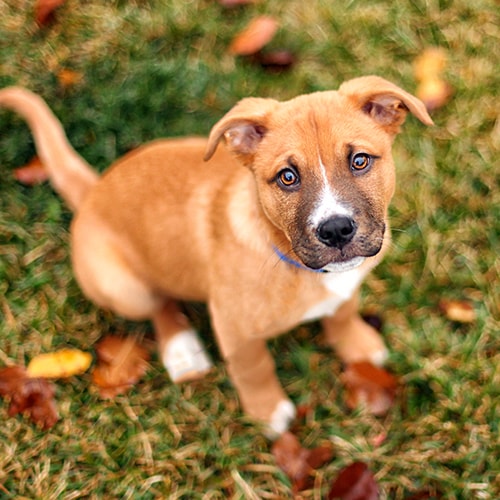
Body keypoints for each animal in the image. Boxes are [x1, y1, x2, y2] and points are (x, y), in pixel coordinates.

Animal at [0, 77, 430, 434]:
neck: (288, 257)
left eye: (360, 161)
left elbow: (342, 310)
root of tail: (92, 192)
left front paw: (357, 344)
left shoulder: (348, 282)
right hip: (121, 287)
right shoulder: (235, 328)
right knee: (158, 305)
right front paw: (269, 413)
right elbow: (255, 369)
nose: (336, 229)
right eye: (287, 177)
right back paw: (182, 350)